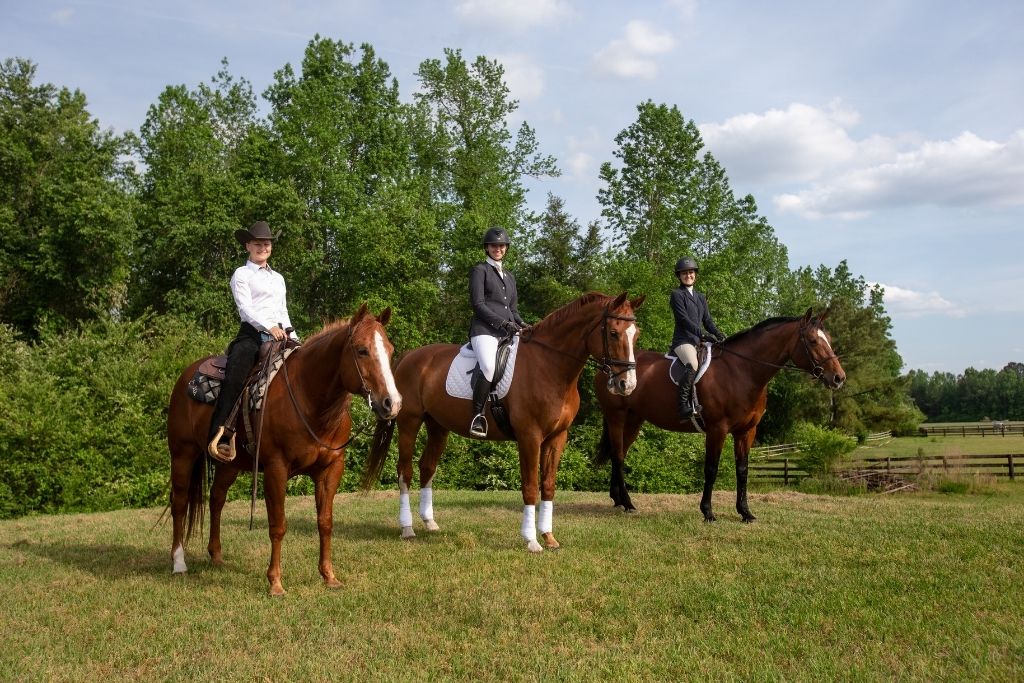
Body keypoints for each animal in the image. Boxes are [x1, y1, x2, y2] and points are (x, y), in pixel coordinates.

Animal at [166, 303, 399, 593]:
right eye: (362, 350)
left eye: (390, 350)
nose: (392, 403)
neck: (309, 398)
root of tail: (185, 376)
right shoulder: (276, 468)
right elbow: (278, 525)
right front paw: (275, 582)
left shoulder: (331, 469)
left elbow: (325, 522)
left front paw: (329, 576)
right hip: (182, 454)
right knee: (179, 502)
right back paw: (178, 562)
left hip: (229, 464)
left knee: (216, 499)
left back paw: (217, 556)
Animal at [362, 290, 638, 552]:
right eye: (613, 333)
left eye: (636, 336)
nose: (627, 385)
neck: (550, 365)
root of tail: (409, 356)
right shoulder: (530, 437)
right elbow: (530, 486)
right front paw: (531, 541)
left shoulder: (557, 437)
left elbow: (548, 486)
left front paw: (549, 537)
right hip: (410, 422)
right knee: (405, 471)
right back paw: (407, 528)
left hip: (438, 426)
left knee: (427, 467)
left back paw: (430, 523)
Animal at [598, 309, 843, 524]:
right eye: (813, 341)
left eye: (829, 339)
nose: (839, 378)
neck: (742, 371)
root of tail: (611, 366)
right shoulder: (717, 429)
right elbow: (711, 469)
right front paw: (708, 512)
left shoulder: (746, 431)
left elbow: (742, 470)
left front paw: (745, 513)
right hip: (616, 416)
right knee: (618, 455)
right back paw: (628, 503)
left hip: (634, 420)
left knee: (619, 453)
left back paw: (618, 500)